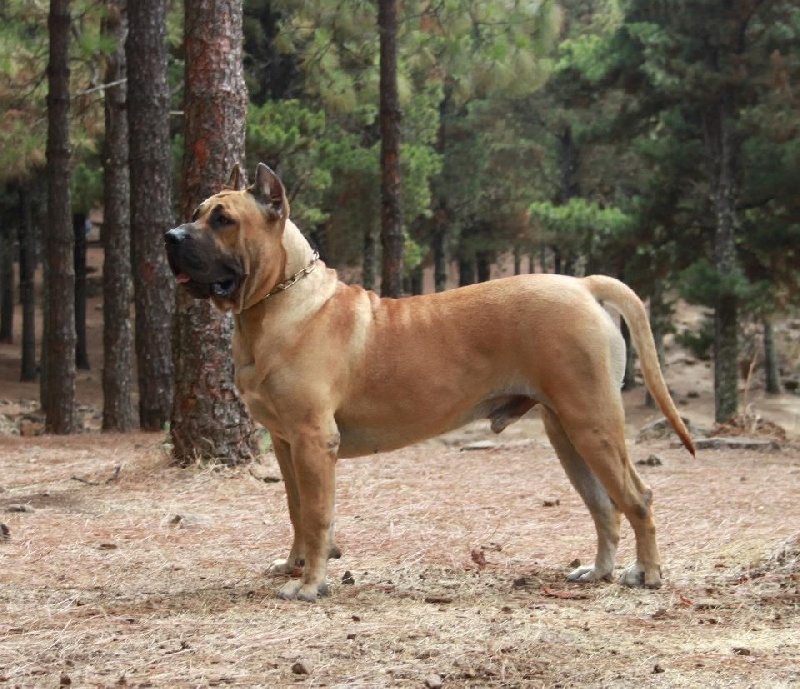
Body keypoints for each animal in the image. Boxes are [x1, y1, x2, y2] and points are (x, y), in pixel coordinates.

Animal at [164, 163, 692, 600]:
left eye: (223, 220)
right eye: (195, 212)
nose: (170, 236)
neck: (275, 303)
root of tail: (583, 284)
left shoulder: (314, 440)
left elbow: (316, 515)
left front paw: (310, 584)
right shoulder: (285, 442)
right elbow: (296, 509)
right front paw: (294, 566)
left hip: (592, 422)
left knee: (637, 497)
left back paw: (647, 574)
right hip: (565, 431)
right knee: (604, 506)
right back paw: (598, 571)